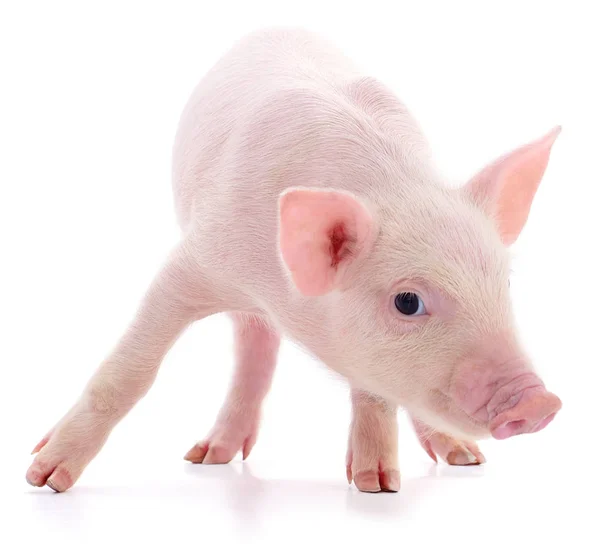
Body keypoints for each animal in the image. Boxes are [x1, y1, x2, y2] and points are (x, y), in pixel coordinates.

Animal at [25, 27, 560, 492]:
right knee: (253, 346)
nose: (540, 401)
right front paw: (43, 477)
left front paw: (377, 485)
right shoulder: (195, 260)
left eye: (505, 283)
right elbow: (128, 374)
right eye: (407, 301)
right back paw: (207, 458)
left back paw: (464, 458)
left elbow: (376, 389)